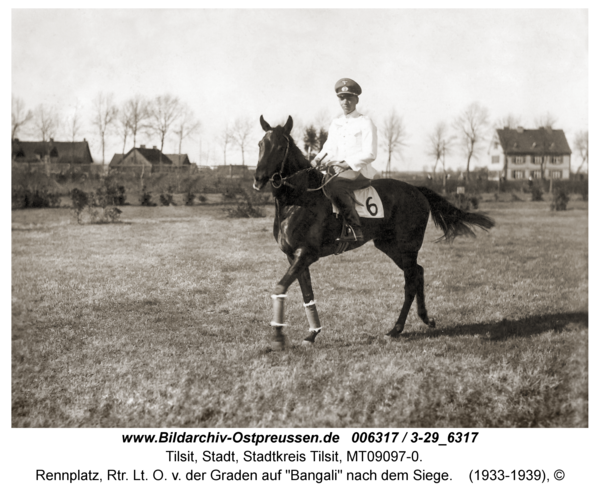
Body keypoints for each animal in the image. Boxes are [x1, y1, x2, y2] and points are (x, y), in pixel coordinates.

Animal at [251, 115, 494, 348]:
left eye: (280, 147)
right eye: (261, 144)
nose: (258, 178)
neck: (300, 198)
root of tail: (416, 189)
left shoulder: (307, 254)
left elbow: (280, 287)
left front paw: (278, 336)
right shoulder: (294, 256)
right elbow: (307, 293)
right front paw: (312, 334)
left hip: (406, 248)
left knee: (411, 280)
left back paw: (396, 329)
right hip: (389, 246)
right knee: (419, 272)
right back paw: (424, 318)